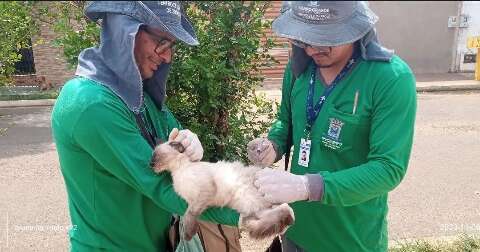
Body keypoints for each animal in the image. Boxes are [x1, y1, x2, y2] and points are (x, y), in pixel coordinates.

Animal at [150, 141, 294, 241]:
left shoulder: (204, 192)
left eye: (155, 156)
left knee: (284, 212)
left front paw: (187, 234)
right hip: (252, 206)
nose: (149, 164)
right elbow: (188, 213)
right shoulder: (193, 200)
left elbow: (189, 214)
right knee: (281, 212)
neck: (178, 171)